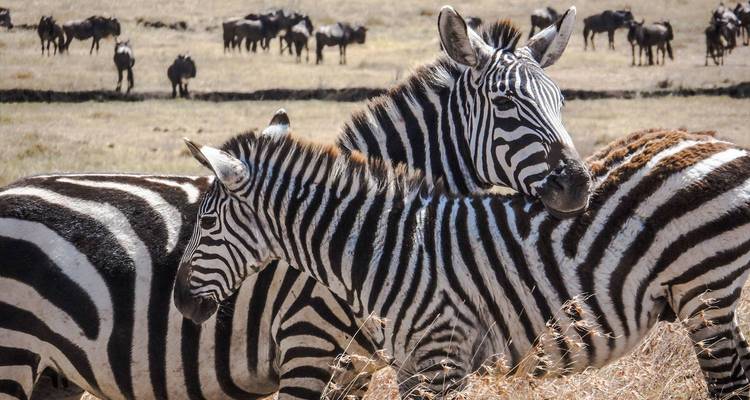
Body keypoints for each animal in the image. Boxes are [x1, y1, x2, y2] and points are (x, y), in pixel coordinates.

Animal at [176, 126, 750, 399]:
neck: (384, 250)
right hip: (710, 302)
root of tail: (717, 142)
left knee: (727, 382)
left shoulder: (444, 357)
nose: (181, 302)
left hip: (705, 292)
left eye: (207, 223)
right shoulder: (413, 366)